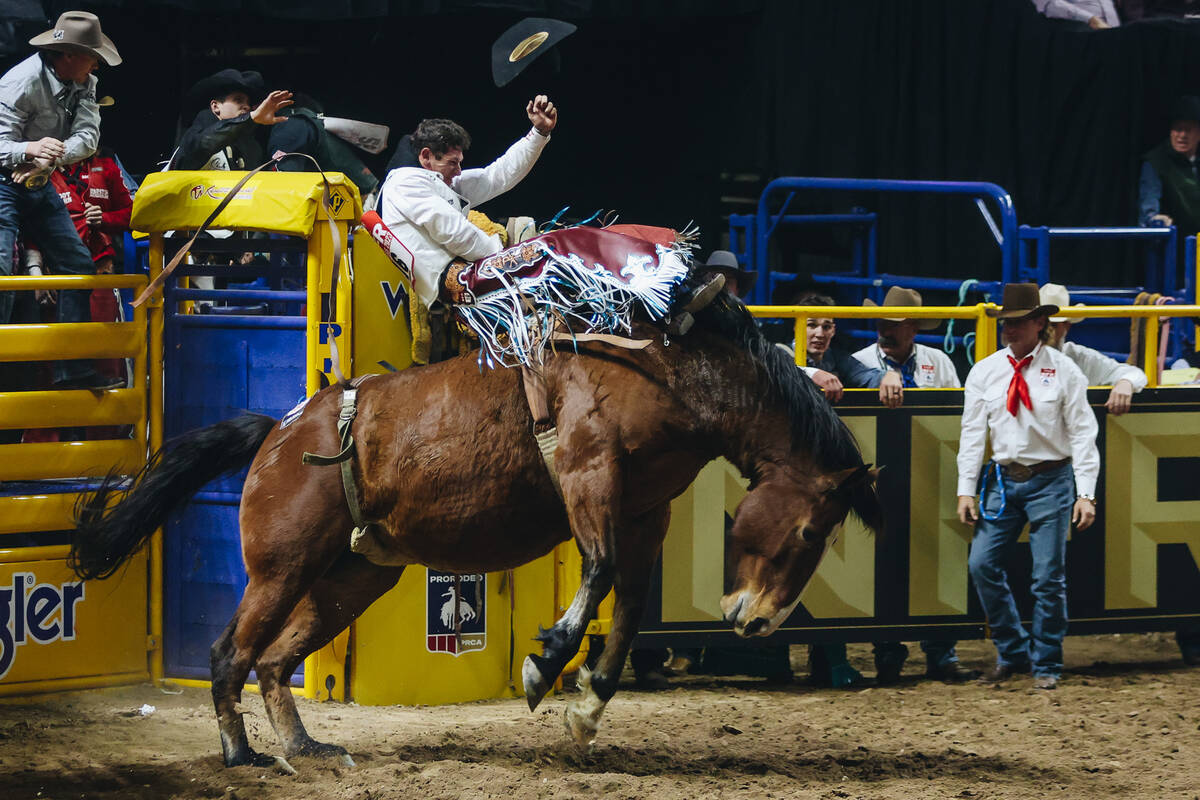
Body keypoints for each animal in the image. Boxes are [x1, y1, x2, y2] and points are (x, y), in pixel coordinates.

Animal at [70, 293, 888, 767]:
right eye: (810, 532)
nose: (758, 624)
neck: (670, 372)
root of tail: (278, 429)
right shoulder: (588, 474)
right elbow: (597, 573)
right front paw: (545, 662)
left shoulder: (645, 515)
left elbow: (627, 616)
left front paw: (585, 710)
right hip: (280, 568)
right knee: (228, 654)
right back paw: (242, 755)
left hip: (352, 578)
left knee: (272, 662)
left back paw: (309, 746)